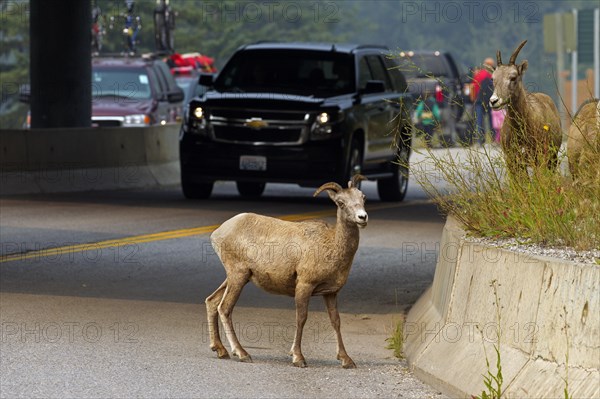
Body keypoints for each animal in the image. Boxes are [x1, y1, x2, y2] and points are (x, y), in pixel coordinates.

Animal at [204, 175, 368, 368]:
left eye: (363, 197)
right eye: (341, 203)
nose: (362, 217)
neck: (331, 245)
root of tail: (217, 233)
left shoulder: (331, 293)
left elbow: (336, 321)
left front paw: (346, 360)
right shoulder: (304, 285)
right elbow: (301, 318)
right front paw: (298, 358)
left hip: (236, 277)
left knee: (212, 301)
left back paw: (220, 350)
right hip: (238, 275)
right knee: (224, 308)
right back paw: (242, 353)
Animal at [490, 41, 564, 178]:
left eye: (513, 77)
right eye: (493, 78)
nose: (494, 101)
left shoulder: (539, 158)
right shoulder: (512, 160)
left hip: (552, 156)